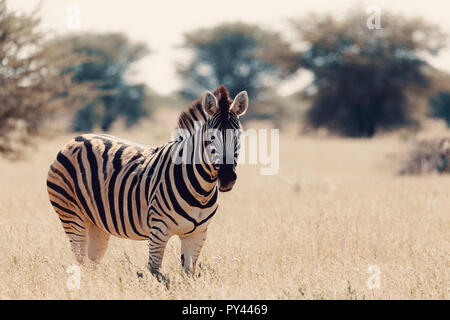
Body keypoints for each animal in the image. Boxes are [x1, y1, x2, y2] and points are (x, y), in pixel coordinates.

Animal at [46, 85, 250, 278]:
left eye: (238, 136)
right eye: (211, 138)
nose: (227, 178)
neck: (201, 191)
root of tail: (75, 139)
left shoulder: (197, 234)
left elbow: (188, 274)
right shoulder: (159, 230)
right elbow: (155, 271)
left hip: (96, 223)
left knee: (91, 264)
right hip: (72, 215)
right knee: (80, 260)